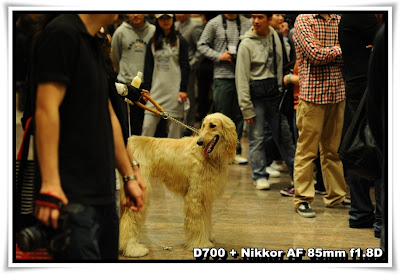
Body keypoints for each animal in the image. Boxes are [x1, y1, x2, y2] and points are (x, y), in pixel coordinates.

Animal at [119, 112, 238, 258]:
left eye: (212, 125)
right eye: (203, 125)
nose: (200, 142)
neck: (209, 157)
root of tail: (130, 141)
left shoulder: (204, 197)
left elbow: (205, 220)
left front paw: (207, 237)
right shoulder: (195, 197)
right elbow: (197, 222)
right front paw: (199, 244)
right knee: (129, 218)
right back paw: (133, 248)